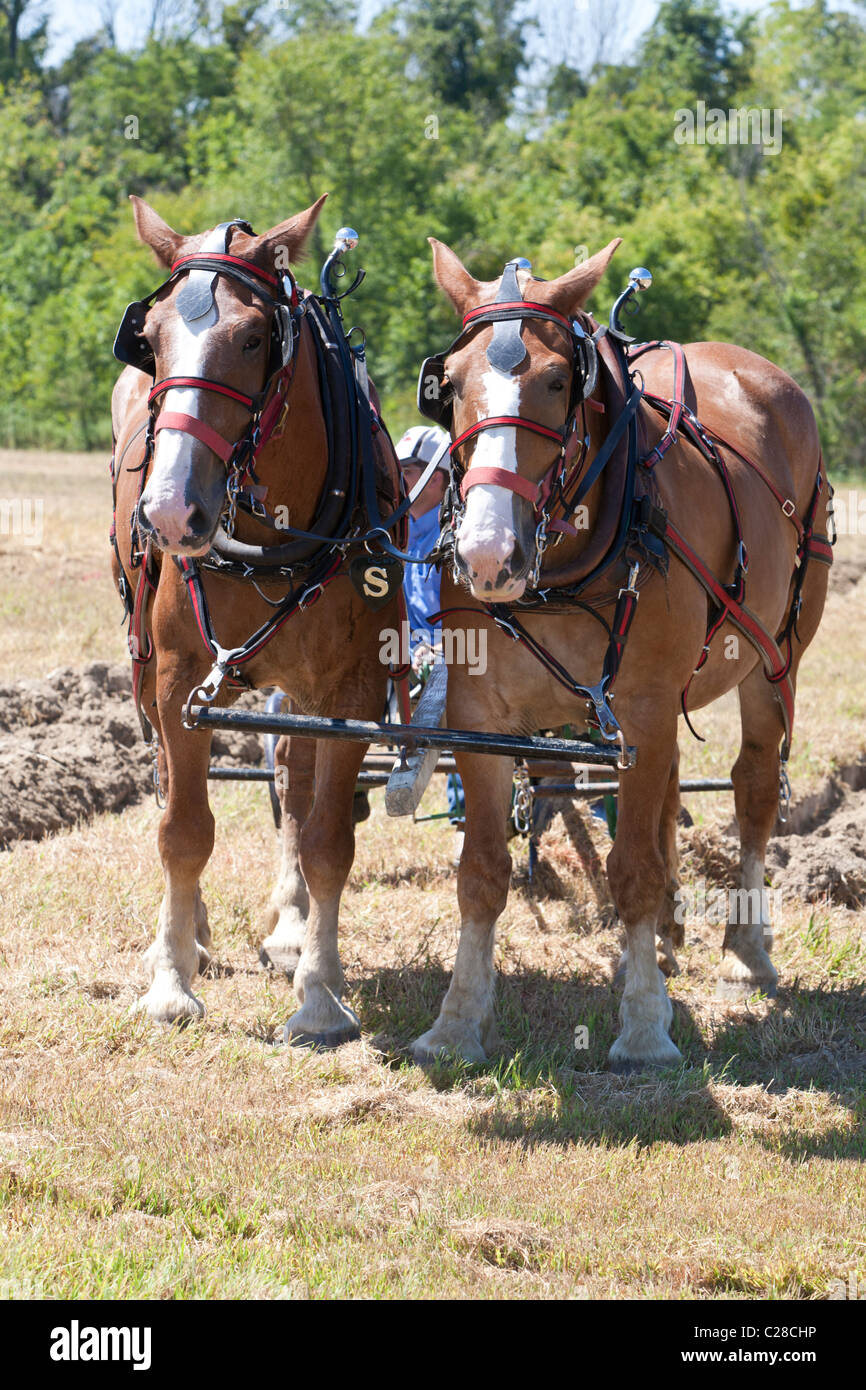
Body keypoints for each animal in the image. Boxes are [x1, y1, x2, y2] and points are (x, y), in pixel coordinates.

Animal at [110, 196, 408, 1041]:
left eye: (250, 338)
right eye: (149, 339)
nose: (170, 511)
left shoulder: (349, 692)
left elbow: (328, 837)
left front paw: (320, 992)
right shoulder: (180, 679)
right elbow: (184, 830)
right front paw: (171, 982)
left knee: (295, 788)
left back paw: (291, 929)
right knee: (172, 782)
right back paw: (190, 936)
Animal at [411, 237, 833, 1070]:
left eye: (554, 380)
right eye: (452, 384)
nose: (487, 555)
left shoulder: (640, 710)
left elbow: (633, 867)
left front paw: (642, 1026)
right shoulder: (482, 717)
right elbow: (481, 871)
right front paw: (457, 1021)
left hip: (776, 656)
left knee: (753, 787)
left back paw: (747, 950)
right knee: (668, 793)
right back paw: (669, 934)